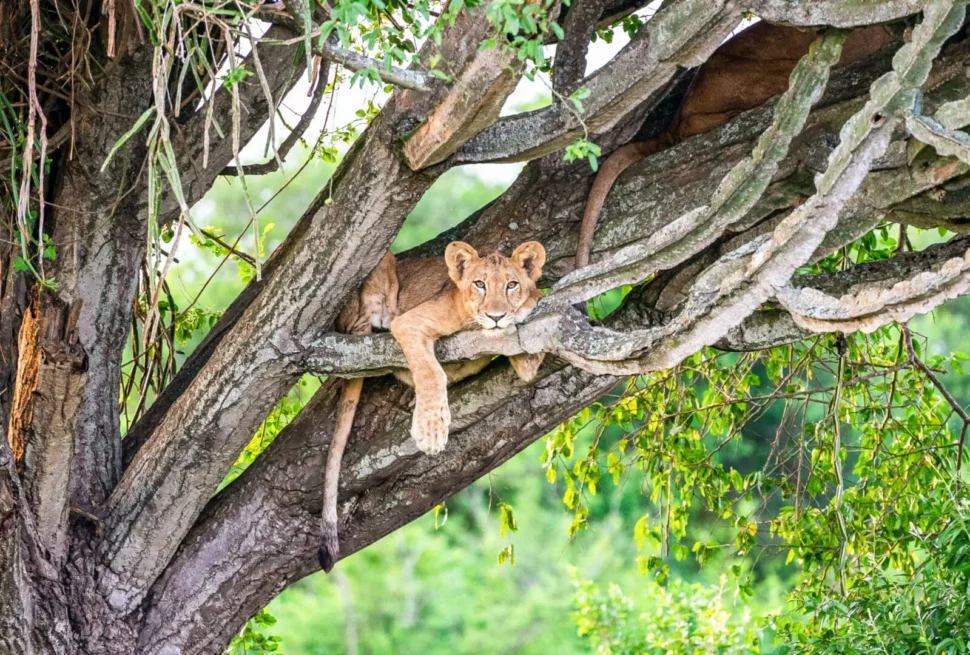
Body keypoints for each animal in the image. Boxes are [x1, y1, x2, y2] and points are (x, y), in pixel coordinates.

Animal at [319, 241, 547, 572]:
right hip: (381, 266)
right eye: (479, 284)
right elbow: (430, 372)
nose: (496, 316)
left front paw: (530, 303)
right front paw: (431, 432)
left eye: (511, 284)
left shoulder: (524, 357)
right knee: (359, 328)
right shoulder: (410, 324)